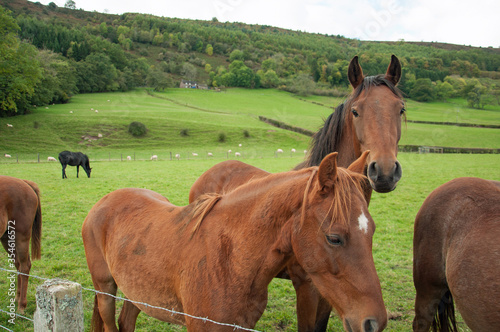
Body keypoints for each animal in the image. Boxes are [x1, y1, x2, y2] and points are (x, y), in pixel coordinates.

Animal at [0, 175, 42, 312]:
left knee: (24, 266)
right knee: (18, 264)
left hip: (21, 237)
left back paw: (21, 305)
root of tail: (25, 182)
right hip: (7, 238)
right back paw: (17, 296)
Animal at [83, 152, 386, 332]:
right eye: (334, 238)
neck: (230, 259)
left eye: (371, 231)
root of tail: (103, 202)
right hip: (105, 289)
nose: (375, 322)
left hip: (135, 291)